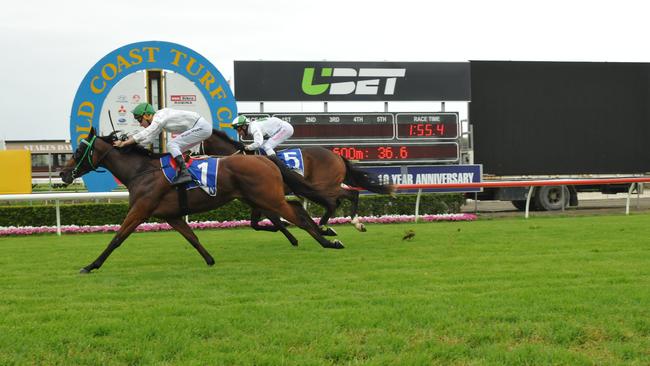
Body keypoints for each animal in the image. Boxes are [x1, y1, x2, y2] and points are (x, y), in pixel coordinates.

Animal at [61, 127, 344, 274]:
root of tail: (266, 160)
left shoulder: (140, 210)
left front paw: (91, 265)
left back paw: (328, 241)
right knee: (297, 210)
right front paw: (209, 259)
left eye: (79, 150)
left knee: (298, 215)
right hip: (264, 197)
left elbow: (117, 238)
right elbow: (193, 238)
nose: (64, 174)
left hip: (268, 197)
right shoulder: (171, 216)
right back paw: (324, 233)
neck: (141, 171)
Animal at [202, 130, 392, 233]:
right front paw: (283, 224)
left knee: (348, 195)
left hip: (323, 185)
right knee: (343, 198)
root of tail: (337, 155)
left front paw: (285, 223)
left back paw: (345, 223)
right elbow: (255, 224)